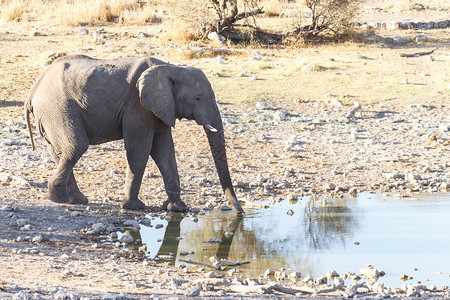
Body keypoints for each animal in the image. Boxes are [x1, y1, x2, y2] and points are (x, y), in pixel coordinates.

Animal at [24, 54, 243, 213]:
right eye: (197, 98)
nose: (240, 212)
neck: (171, 68)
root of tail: (34, 88)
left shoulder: (161, 107)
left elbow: (164, 150)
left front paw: (177, 208)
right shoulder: (138, 106)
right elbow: (140, 148)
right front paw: (134, 207)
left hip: (50, 114)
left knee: (59, 151)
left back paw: (77, 199)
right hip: (57, 108)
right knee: (76, 146)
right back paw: (60, 199)